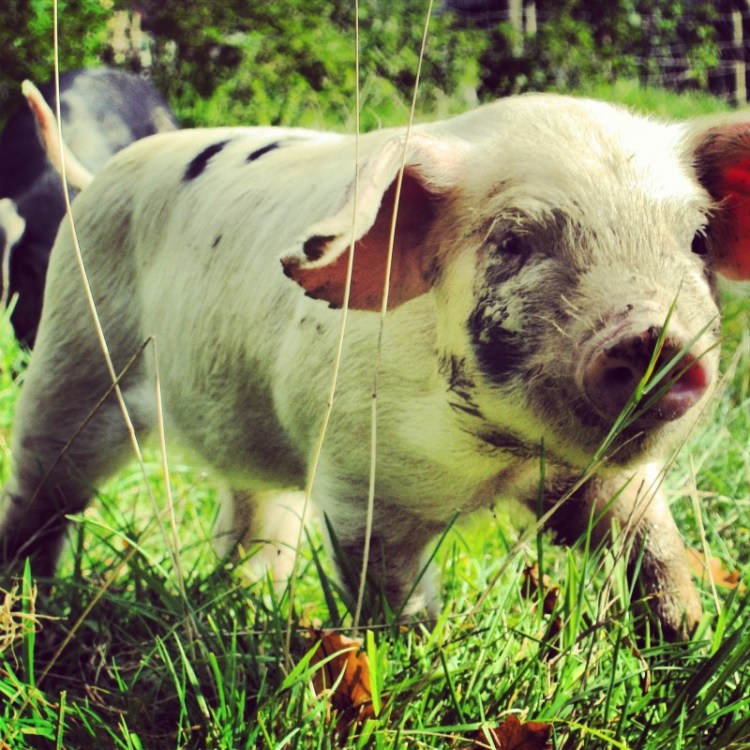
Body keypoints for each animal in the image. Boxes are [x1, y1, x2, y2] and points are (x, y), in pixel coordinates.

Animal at [1, 94, 748, 640]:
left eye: (697, 239)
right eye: (513, 241)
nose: (653, 338)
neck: (498, 458)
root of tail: (93, 178)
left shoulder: (600, 475)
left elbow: (648, 535)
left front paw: (684, 632)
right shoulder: (359, 477)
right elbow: (389, 586)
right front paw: (410, 653)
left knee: (253, 512)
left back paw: (246, 595)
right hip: (73, 351)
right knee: (43, 489)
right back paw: (29, 597)